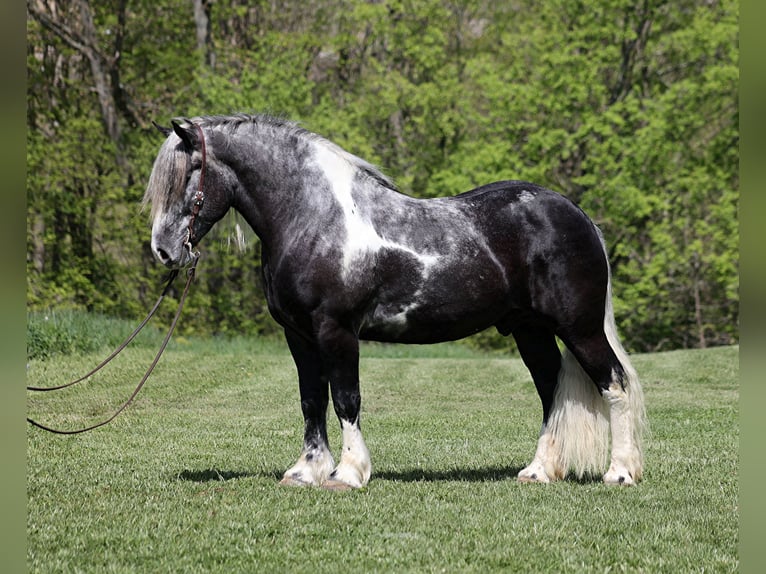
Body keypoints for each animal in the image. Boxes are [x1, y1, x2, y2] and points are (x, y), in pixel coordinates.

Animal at [143, 114, 646, 489]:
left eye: (188, 174)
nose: (164, 250)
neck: (315, 218)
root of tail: (576, 215)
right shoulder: (299, 335)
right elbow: (312, 400)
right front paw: (305, 472)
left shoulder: (336, 330)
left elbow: (346, 398)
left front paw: (347, 474)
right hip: (530, 331)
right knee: (550, 391)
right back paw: (538, 472)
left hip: (579, 328)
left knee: (615, 383)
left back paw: (620, 473)